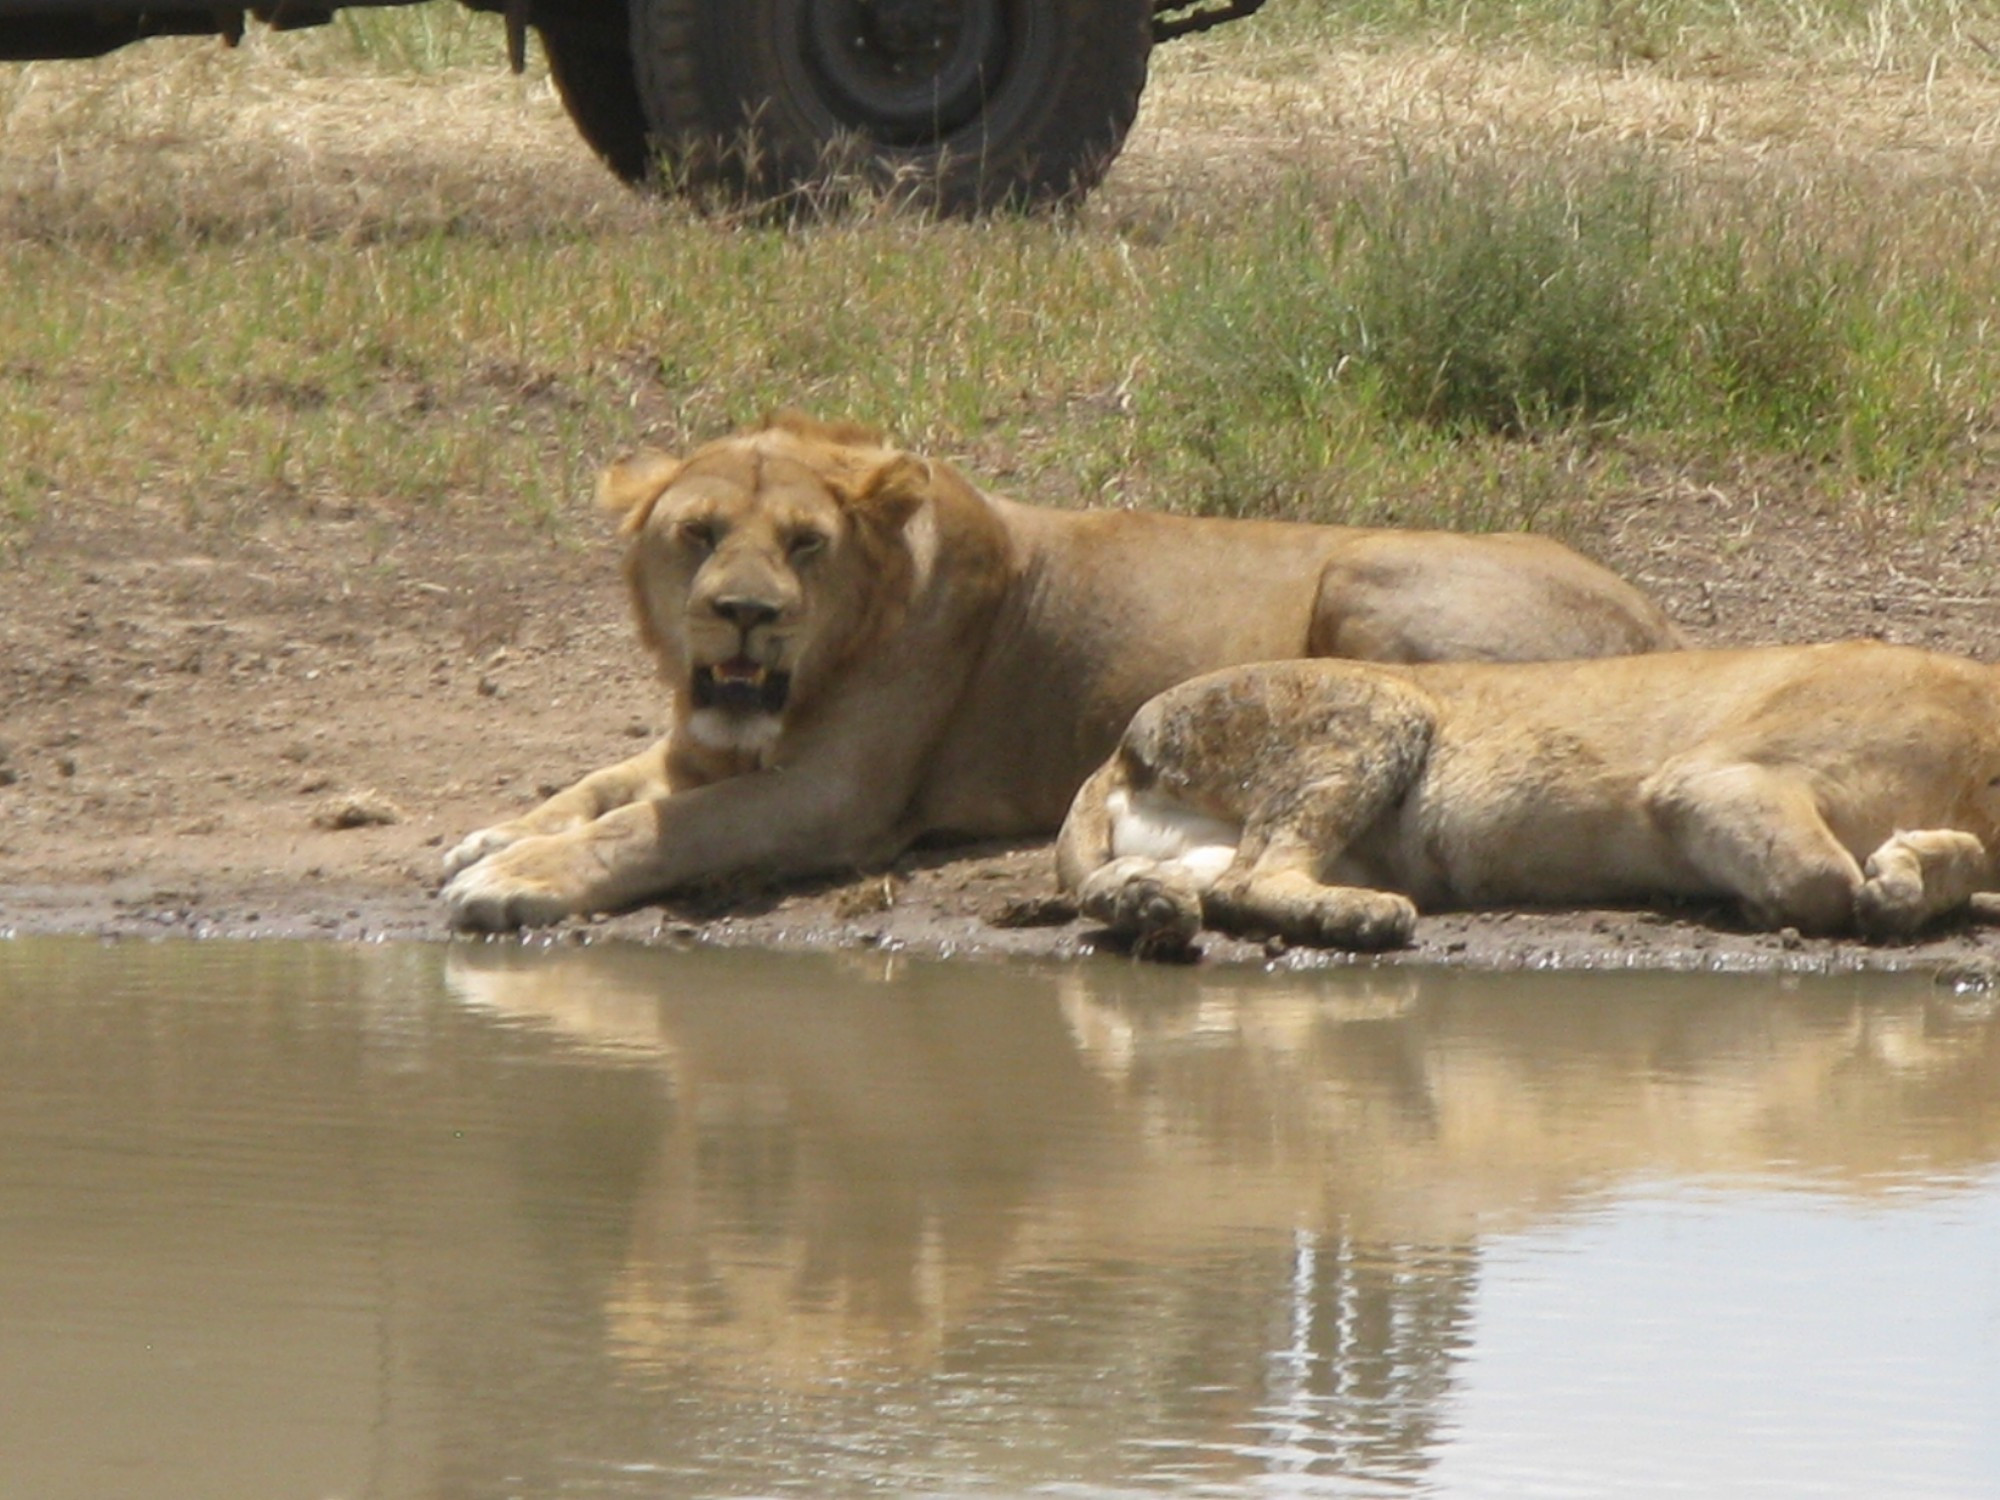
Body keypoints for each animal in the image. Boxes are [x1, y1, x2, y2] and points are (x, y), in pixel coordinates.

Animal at [446, 412, 1680, 928]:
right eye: (697, 535)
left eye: (803, 545)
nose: (745, 617)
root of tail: (1655, 615)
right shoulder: (709, 738)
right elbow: (604, 784)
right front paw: (492, 835)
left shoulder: (834, 800)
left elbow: (655, 828)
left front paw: (513, 878)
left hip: (1360, 569)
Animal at [1056, 640, 1992, 956]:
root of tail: (1117, 746)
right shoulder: (1713, 776)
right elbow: (1821, 880)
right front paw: (1781, 905)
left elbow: (1963, 861)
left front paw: (1906, 878)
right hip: (1380, 707)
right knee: (1259, 877)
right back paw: (1360, 919)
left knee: (1210, 883)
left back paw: (1153, 906)